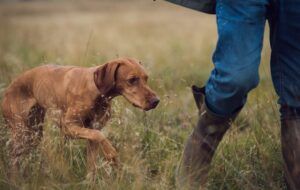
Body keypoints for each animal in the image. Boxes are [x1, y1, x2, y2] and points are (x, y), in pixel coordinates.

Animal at [1, 57, 159, 176]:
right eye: (132, 79)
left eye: (146, 78)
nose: (156, 101)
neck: (96, 91)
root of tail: (8, 89)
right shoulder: (68, 127)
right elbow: (101, 136)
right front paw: (111, 154)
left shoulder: (92, 133)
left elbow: (92, 162)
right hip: (21, 134)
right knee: (14, 159)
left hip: (34, 133)